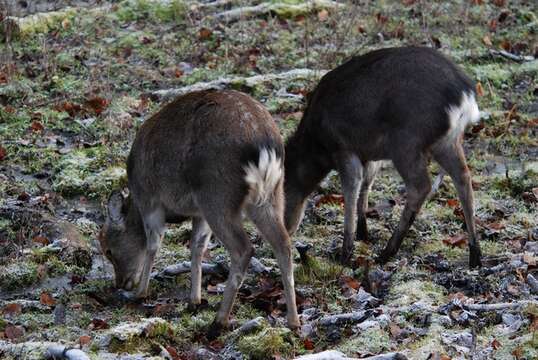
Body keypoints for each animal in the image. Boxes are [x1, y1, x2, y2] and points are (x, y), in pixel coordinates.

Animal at [98, 89, 300, 334]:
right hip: (271, 195)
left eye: (108, 250)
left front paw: (140, 293)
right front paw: (194, 300)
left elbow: (154, 244)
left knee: (243, 248)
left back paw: (220, 319)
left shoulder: (150, 200)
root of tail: (265, 146)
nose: (121, 283)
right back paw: (294, 321)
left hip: (217, 196)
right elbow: (197, 247)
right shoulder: (198, 214)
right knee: (284, 243)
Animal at [284, 47, 482, 268]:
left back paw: (387, 252)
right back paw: (475, 254)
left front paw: (346, 251)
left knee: (421, 186)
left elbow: (351, 190)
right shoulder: (369, 154)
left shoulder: (343, 148)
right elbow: (366, 185)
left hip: (406, 141)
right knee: (463, 178)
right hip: (447, 141)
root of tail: (466, 96)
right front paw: (363, 233)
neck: (317, 147)